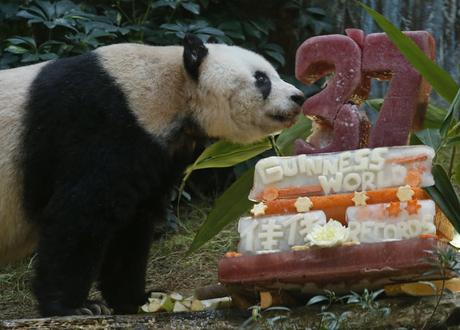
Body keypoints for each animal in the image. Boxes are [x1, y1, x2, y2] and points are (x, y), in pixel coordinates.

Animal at [0, 34, 304, 316]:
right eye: (261, 78)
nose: (298, 98)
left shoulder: (154, 154)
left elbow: (132, 225)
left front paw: (140, 299)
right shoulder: (97, 125)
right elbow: (79, 214)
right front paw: (74, 307)